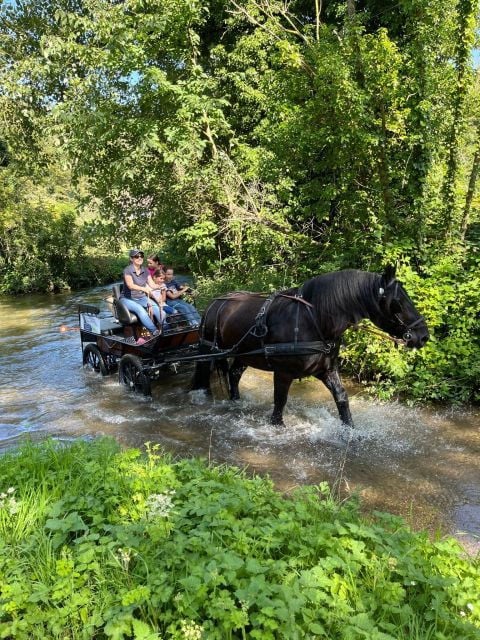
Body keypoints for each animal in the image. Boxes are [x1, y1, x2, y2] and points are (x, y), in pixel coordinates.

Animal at [191, 266, 429, 428]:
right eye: (397, 303)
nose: (423, 336)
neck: (314, 320)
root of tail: (215, 301)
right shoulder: (283, 372)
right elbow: (280, 400)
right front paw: (277, 426)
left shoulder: (327, 369)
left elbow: (342, 398)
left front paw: (349, 429)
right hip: (209, 350)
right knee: (205, 374)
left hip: (243, 354)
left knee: (233, 374)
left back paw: (236, 401)